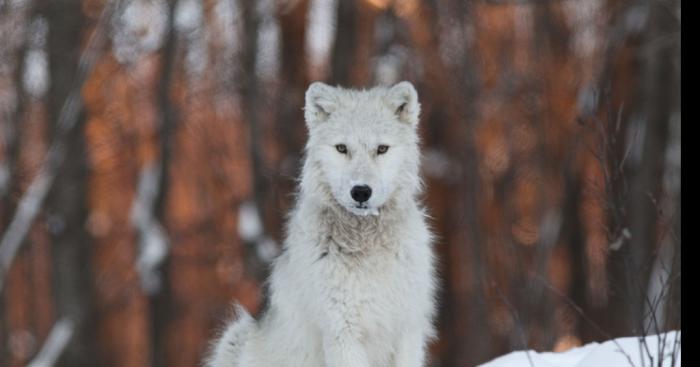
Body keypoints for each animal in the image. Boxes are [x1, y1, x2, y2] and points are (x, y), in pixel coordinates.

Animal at [205, 82, 438, 366]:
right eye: (342, 148)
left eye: (382, 149)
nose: (361, 192)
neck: (366, 245)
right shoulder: (343, 332)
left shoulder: (408, 330)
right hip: (234, 335)